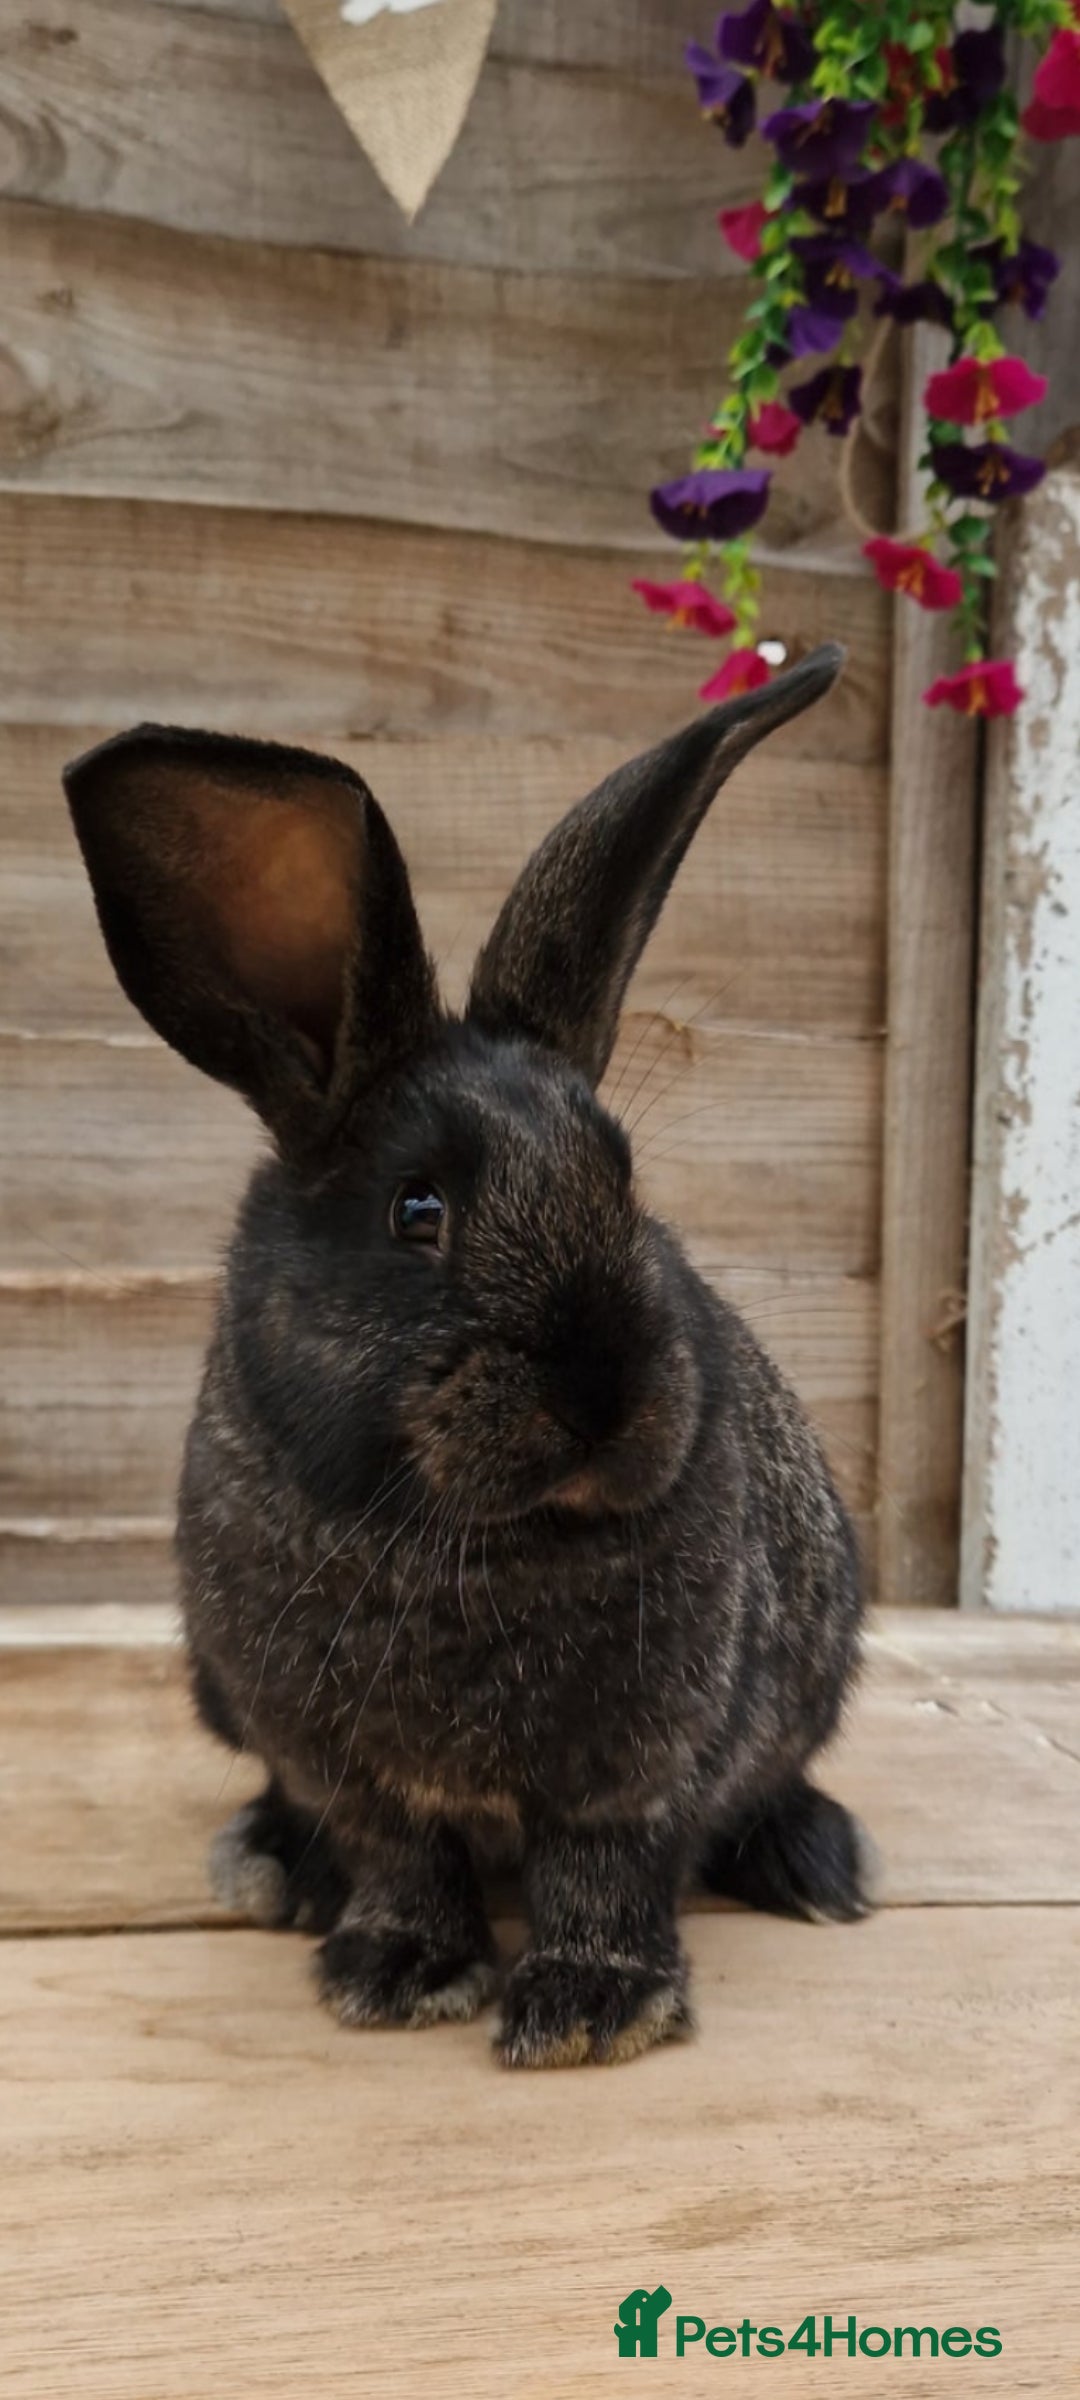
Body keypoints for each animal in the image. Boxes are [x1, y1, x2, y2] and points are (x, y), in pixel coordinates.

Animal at [64, 641, 871, 2070]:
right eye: (415, 1209)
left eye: (623, 1177)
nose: (604, 1392)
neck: (469, 1549)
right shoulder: (345, 1769)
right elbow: (400, 1858)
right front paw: (395, 1973)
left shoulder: (640, 1764)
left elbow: (605, 1867)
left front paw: (592, 2011)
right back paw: (272, 1867)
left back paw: (814, 1863)